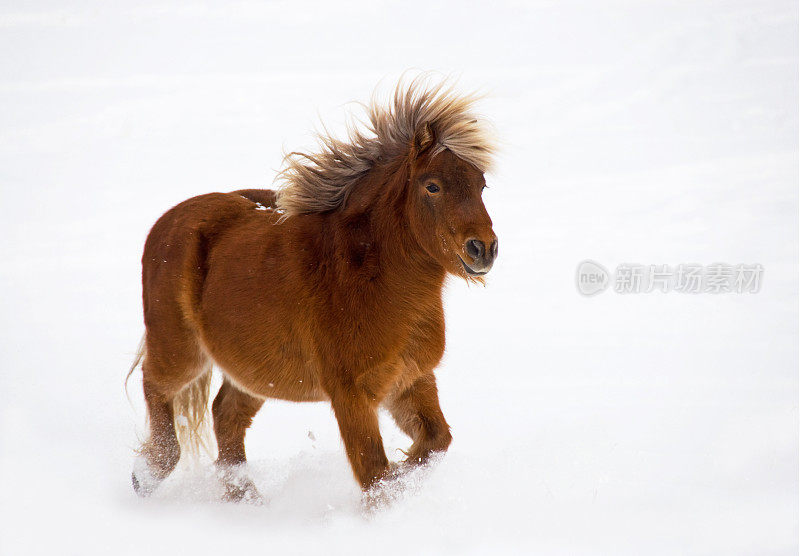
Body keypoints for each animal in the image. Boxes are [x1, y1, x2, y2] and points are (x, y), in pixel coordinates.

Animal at [128, 76, 496, 502]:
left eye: (481, 185)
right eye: (432, 186)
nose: (483, 249)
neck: (374, 281)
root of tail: (165, 223)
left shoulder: (412, 380)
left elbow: (435, 443)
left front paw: (404, 481)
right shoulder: (352, 394)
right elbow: (375, 473)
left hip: (254, 370)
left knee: (226, 415)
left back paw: (245, 498)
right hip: (181, 350)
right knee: (156, 386)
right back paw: (149, 473)